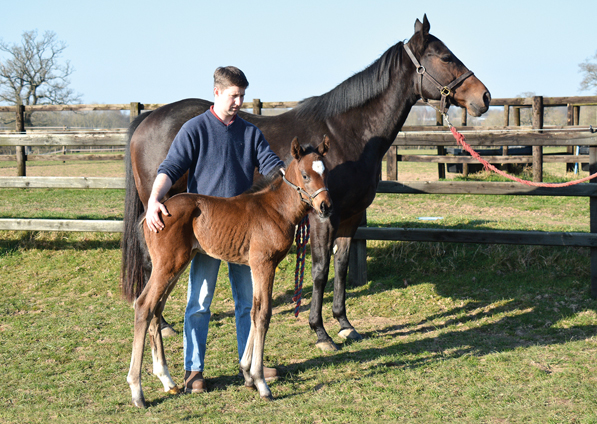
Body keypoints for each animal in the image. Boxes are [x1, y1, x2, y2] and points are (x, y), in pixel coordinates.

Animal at [120, 15, 488, 352]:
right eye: (445, 57)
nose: (484, 97)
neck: (348, 133)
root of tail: (147, 118)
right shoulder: (322, 216)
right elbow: (320, 270)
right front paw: (321, 332)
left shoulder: (350, 217)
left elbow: (341, 267)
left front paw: (345, 324)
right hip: (160, 207)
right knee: (152, 261)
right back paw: (162, 324)